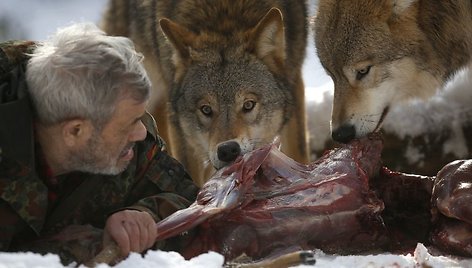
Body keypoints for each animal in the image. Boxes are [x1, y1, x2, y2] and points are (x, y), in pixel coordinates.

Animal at [102, 0, 312, 186]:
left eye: (248, 105)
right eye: (206, 109)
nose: (228, 150)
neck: (224, 17)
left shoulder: (294, 84)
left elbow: (299, 152)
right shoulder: (180, 128)